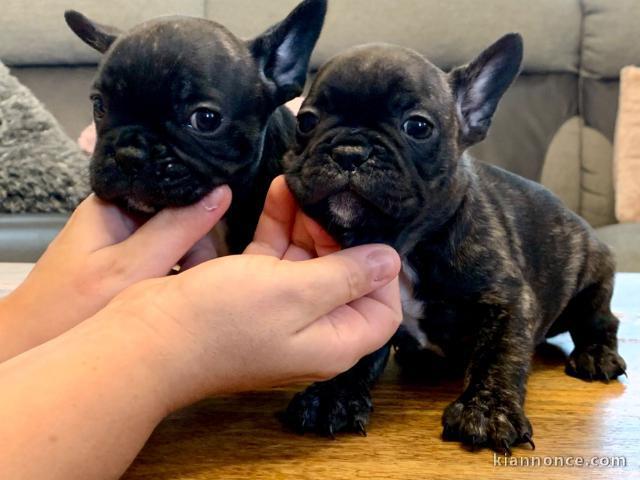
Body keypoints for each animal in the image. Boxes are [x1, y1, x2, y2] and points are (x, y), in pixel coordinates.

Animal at [282, 34, 628, 454]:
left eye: (417, 126)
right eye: (306, 121)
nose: (349, 151)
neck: (407, 247)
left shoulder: (507, 300)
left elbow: (498, 354)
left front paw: (488, 410)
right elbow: (357, 348)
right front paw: (334, 394)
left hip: (592, 275)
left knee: (601, 318)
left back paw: (596, 354)